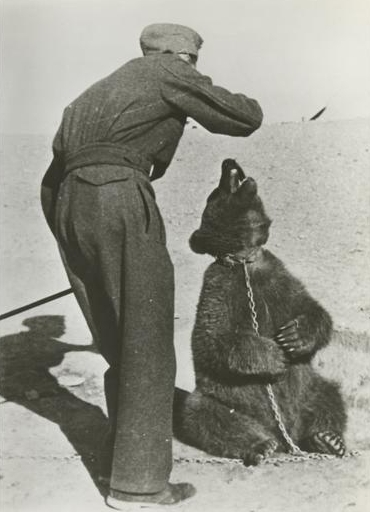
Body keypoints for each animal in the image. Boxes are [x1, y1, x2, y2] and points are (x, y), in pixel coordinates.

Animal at [173, 158, 346, 466]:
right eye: (215, 191)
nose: (228, 162)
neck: (245, 258)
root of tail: (285, 435)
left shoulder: (278, 276)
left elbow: (313, 309)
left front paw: (293, 337)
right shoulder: (221, 285)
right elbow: (211, 337)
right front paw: (274, 355)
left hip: (310, 387)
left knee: (329, 393)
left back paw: (327, 438)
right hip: (226, 400)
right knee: (204, 414)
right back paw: (260, 445)